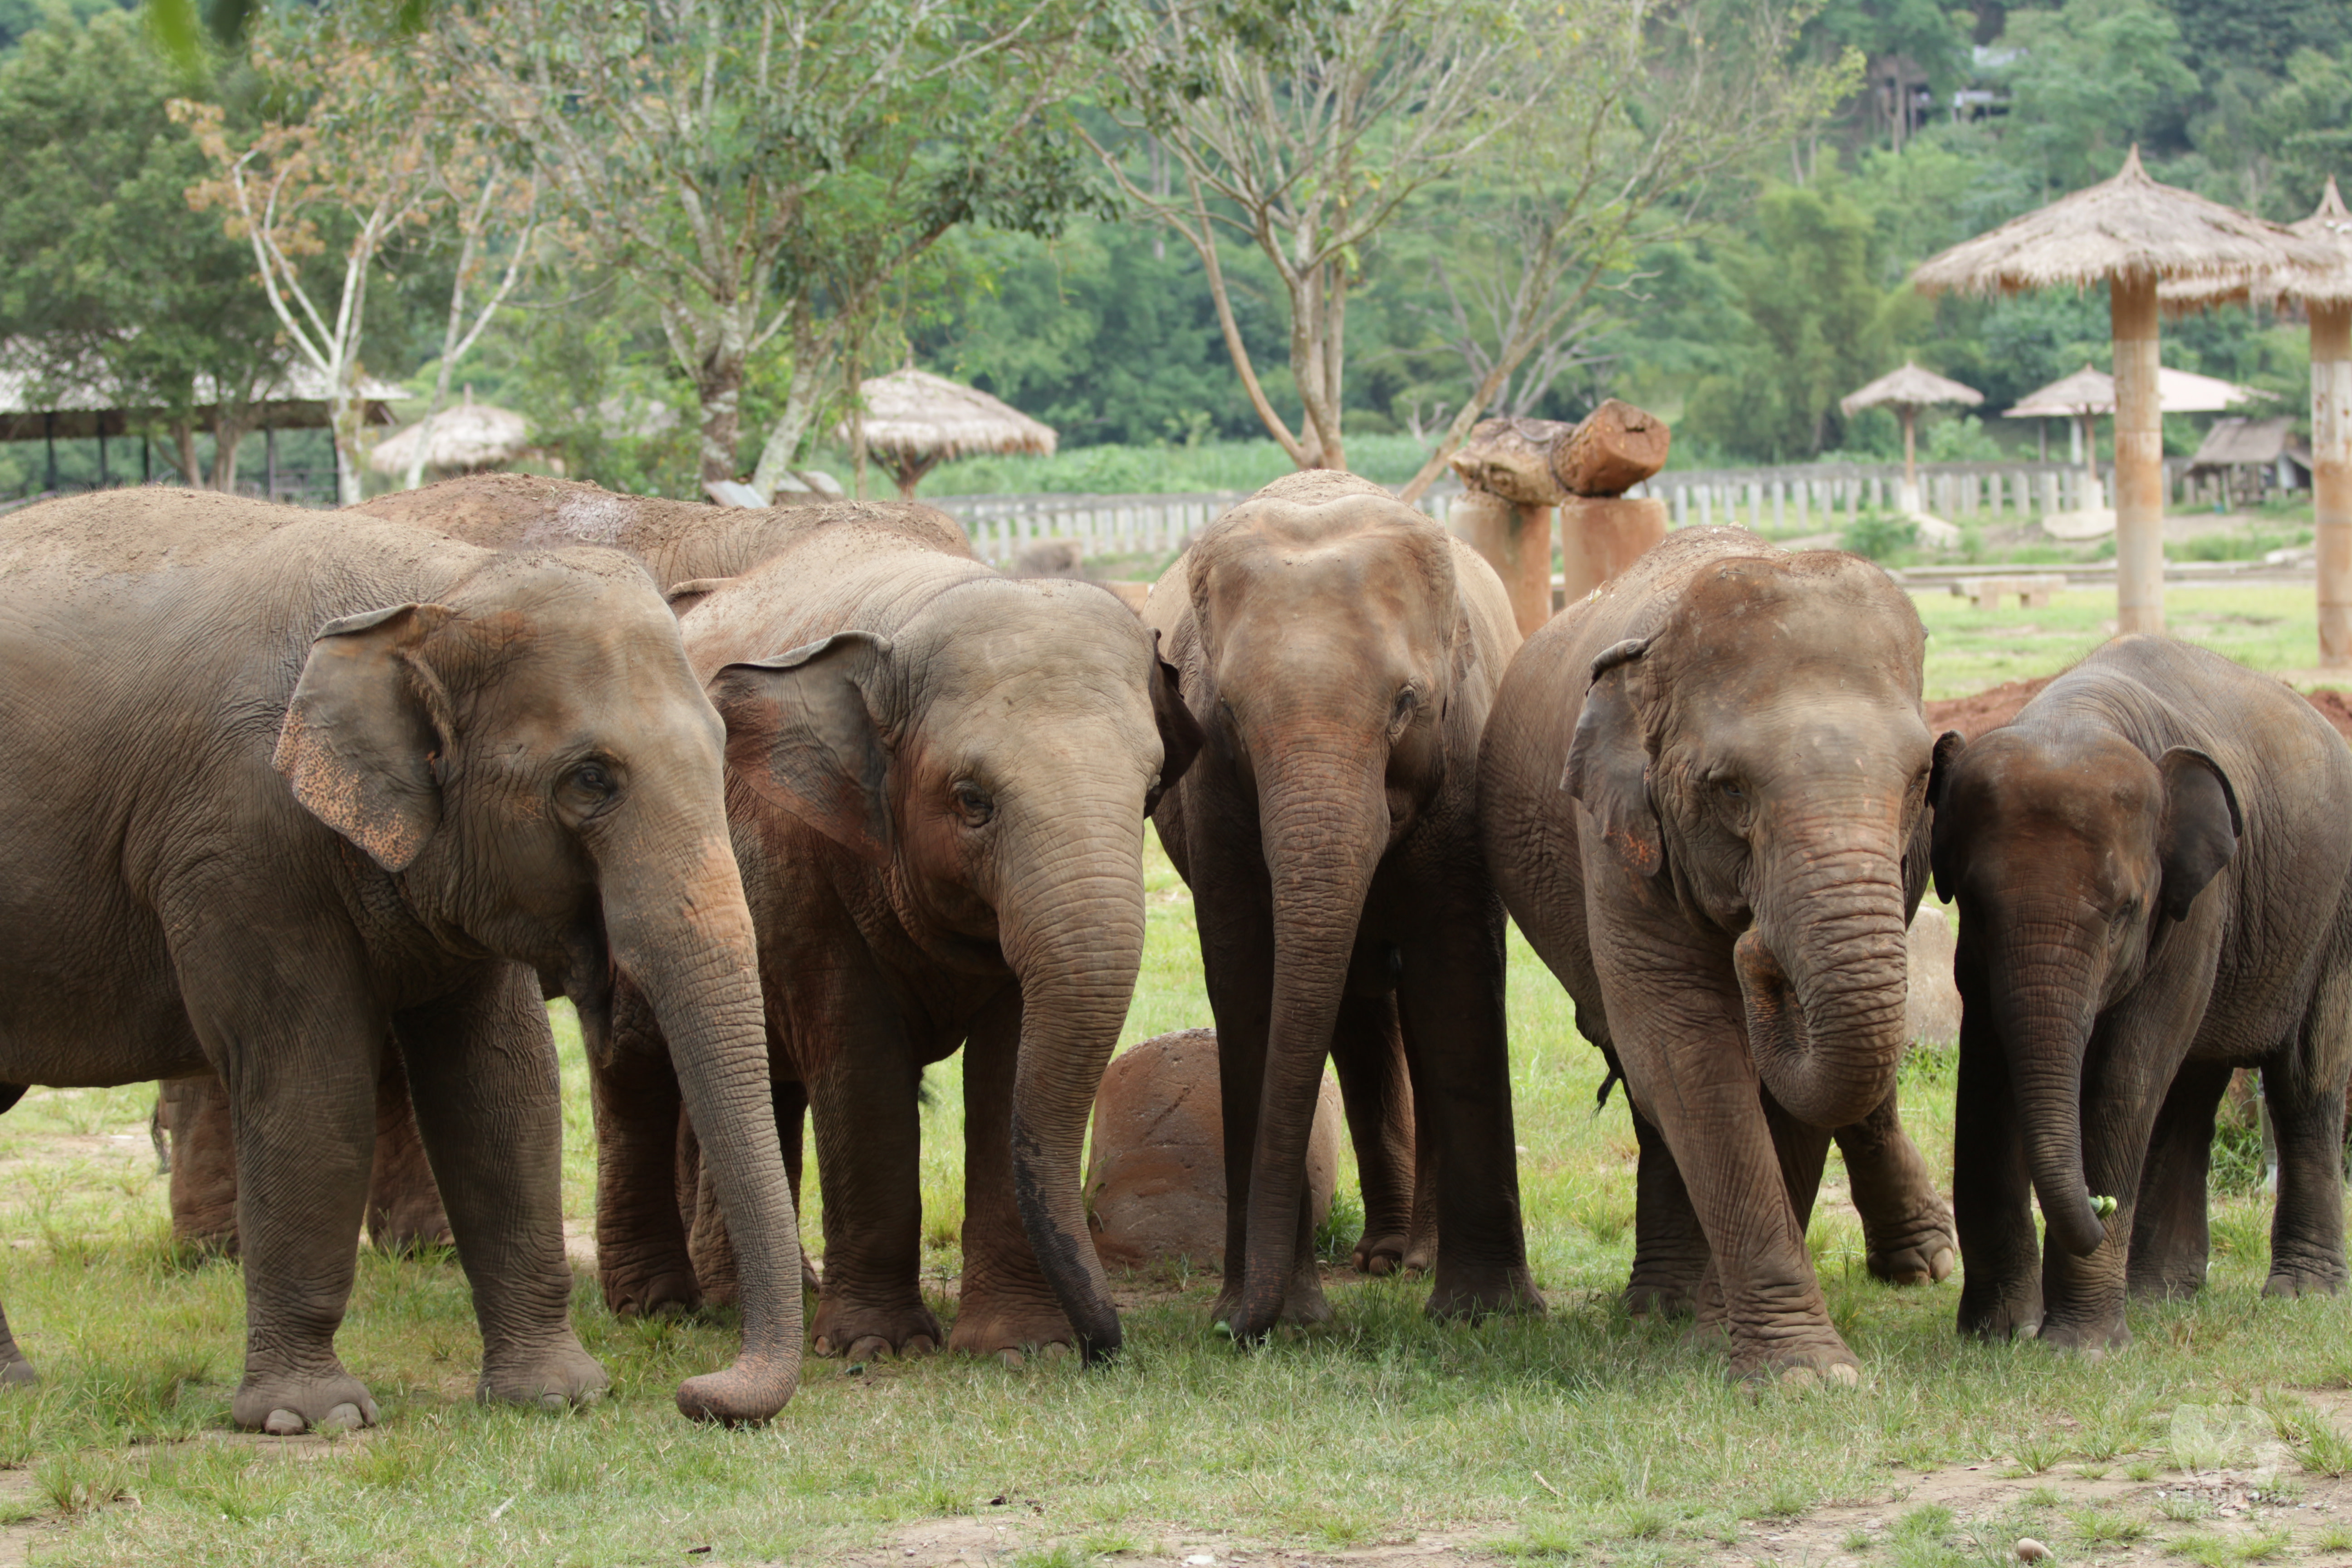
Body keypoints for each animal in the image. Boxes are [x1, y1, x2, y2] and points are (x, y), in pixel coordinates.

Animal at [0, 487, 803, 1431]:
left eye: (720, 749)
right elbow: (312, 1081)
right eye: (590, 780)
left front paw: (556, 1395)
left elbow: (501, 1083)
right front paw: (310, 1418)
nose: (699, 1392)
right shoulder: (240, 840)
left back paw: (12, 1385)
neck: (435, 590)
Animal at [589, 508, 1201, 1365]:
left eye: (1149, 794)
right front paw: (873, 1348)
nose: (1103, 1347)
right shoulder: (795, 856)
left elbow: (1007, 1064)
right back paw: (657, 1305)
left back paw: (749, 1296)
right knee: (633, 1061)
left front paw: (1020, 1348)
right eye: (972, 800)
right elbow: (860, 1060)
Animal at [1143, 470, 1541, 1342]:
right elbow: (1250, 981)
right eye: (1229, 713)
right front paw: (1285, 1317)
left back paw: (1414, 1262)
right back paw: (1383, 1257)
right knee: (1361, 1013)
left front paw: (1486, 1316)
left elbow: (1457, 976)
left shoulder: (1461, 763)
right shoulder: (1214, 799)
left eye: (1405, 702)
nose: (1236, 1332)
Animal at [1477, 527, 1956, 1383]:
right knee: (1646, 1080)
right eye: (1729, 790)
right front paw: (1796, 1372)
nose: (1759, 950)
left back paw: (1923, 1265)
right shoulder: (1617, 840)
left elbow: (1790, 1095)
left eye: (1919, 778)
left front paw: (1741, 1342)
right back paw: (1656, 1307)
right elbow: (1684, 1053)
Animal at [1930, 635, 2352, 1350]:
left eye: (2125, 911)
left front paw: (2078, 1349)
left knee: (2304, 1079)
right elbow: (1986, 1076)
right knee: (2191, 1093)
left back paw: (2301, 1294)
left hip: (2334, 916)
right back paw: (2161, 1295)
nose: (2099, 1211)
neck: (2078, 715)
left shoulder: (2199, 903)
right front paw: (1997, 1335)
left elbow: (2124, 1074)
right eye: (1976, 907)